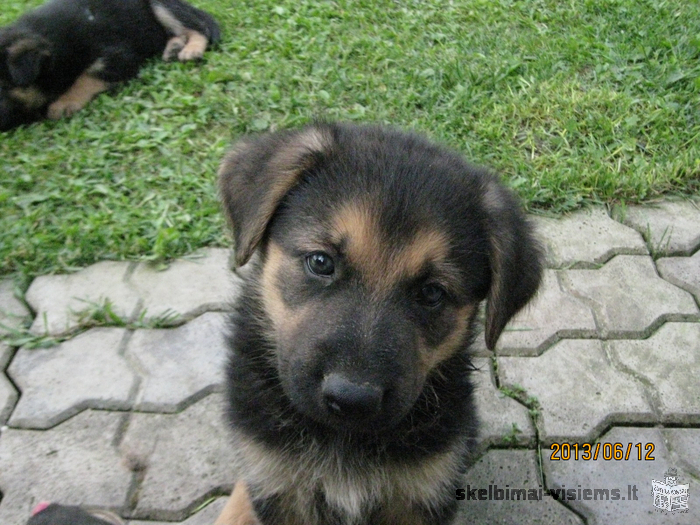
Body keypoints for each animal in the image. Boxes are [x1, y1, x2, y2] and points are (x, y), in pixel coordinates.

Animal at [0, 0, 219, 130]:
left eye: (2, 88)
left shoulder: (118, 57)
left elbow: (86, 76)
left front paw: (64, 102)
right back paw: (174, 46)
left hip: (159, 5)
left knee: (198, 26)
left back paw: (192, 49)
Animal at [216, 122, 544, 524]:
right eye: (321, 262)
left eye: (431, 293)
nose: (351, 400)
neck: (343, 439)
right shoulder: (279, 483)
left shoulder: (421, 490)